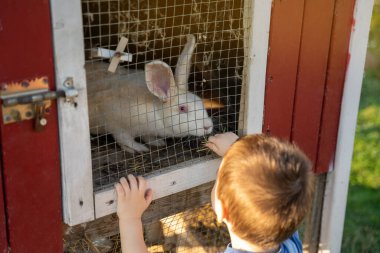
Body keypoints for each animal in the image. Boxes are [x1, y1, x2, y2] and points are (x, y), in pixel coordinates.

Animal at [85, 34, 214, 153]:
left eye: (200, 101)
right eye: (182, 108)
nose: (208, 126)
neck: (156, 111)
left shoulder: (145, 131)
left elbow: (147, 137)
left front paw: (158, 142)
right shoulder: (115, 124)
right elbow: (125, 139)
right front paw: (139, 148)